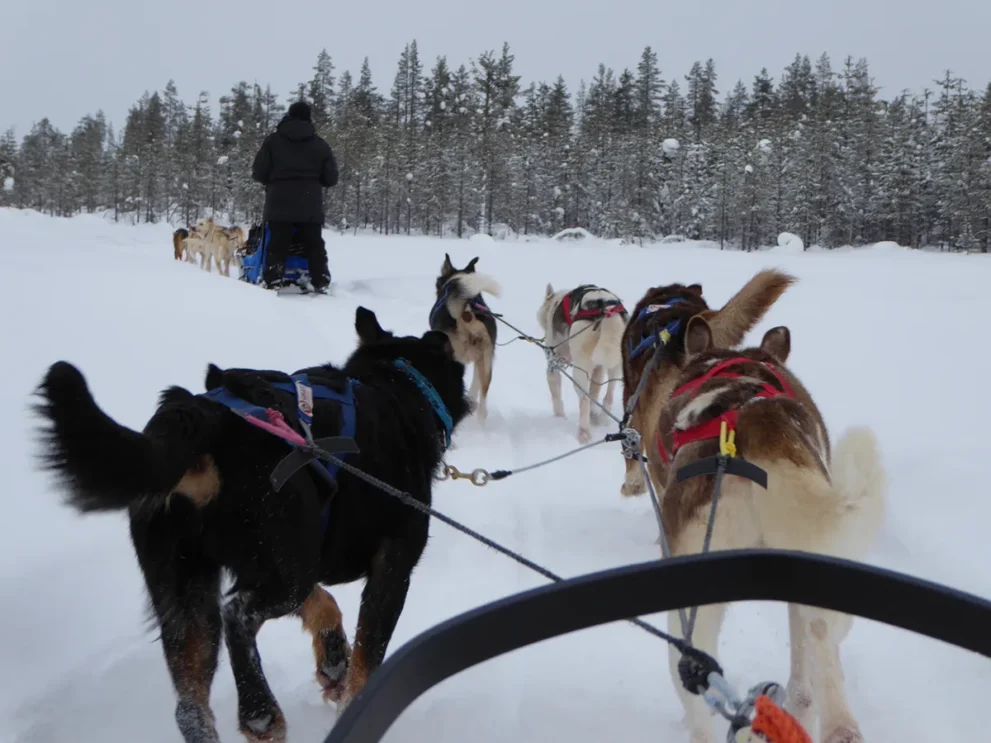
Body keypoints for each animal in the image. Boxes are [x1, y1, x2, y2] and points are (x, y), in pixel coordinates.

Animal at [34, 306, 472, 740]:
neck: (396, 383)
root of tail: (205, 419)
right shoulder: (390, 569)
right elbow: (367, 663)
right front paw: (351, 699)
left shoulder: (291, 556)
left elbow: (325, 604)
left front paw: (333, 659)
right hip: (285, 570)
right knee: (237, 615)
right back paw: (260, 710)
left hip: (190, 590)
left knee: (191, 707)